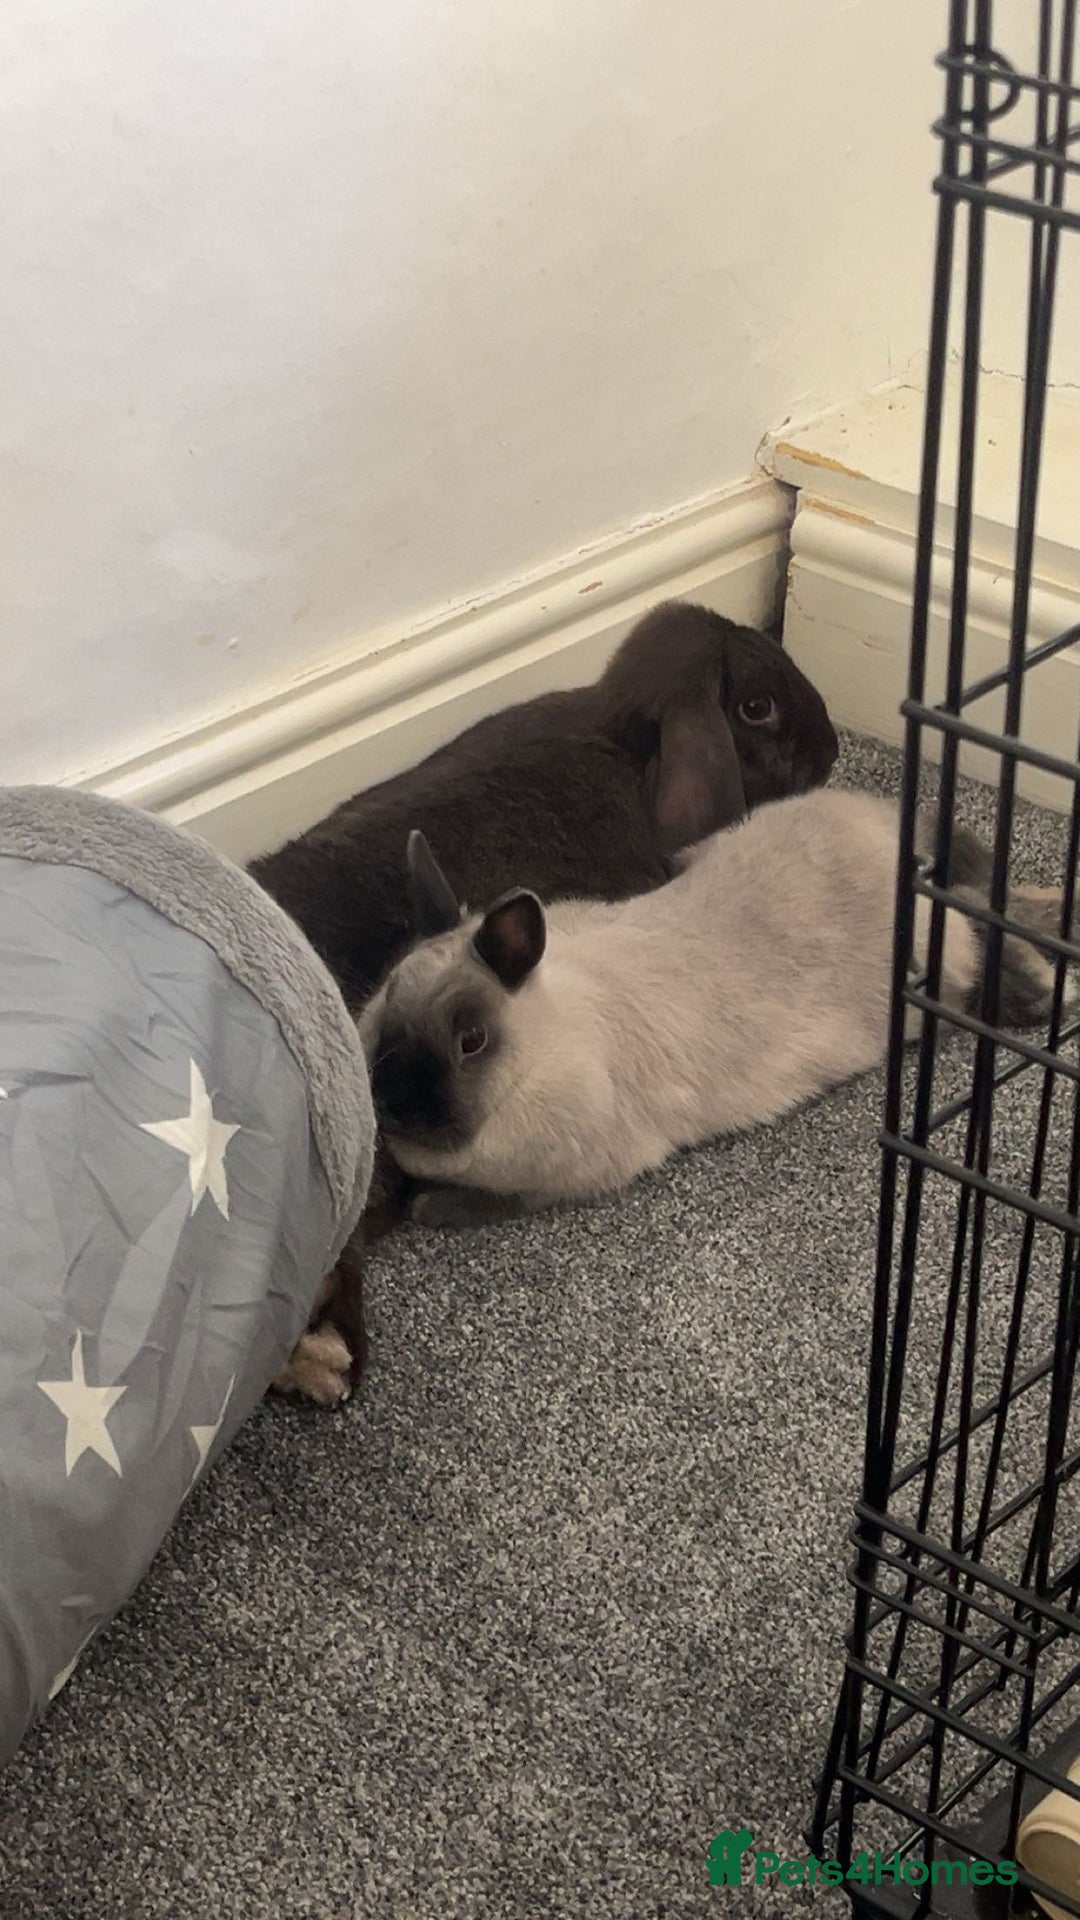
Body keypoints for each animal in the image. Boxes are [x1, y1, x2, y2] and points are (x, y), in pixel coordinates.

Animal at [358, 797, 1076, 1226]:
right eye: (384, 1001)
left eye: (472, 1041)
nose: (392, 1108)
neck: (539, 1044)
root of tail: (893, 835)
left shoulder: (567, 1177)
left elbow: (484, 1203)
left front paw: (426, 1207)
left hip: (934, 972)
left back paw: (1042, 989)